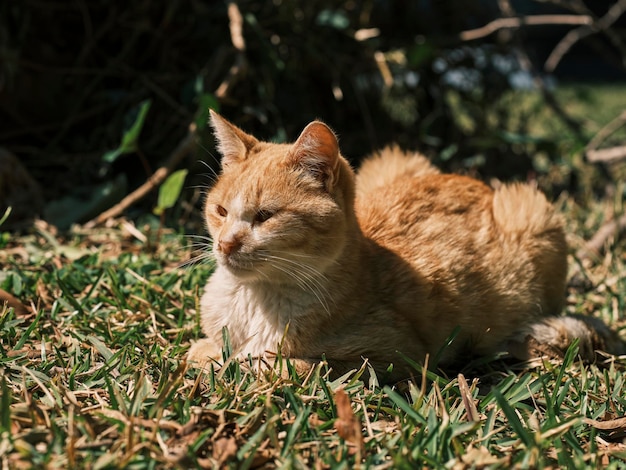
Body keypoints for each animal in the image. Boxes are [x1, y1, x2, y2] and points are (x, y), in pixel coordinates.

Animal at [186, 111, 624, 382]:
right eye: (220, 210)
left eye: (265, 216)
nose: (225, 244)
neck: (253, 302)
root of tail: (474, 181)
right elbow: (204, 349)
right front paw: (211, 355)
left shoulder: (395, 358)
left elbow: (286, 365)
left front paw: (238, 364)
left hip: (534, 211)